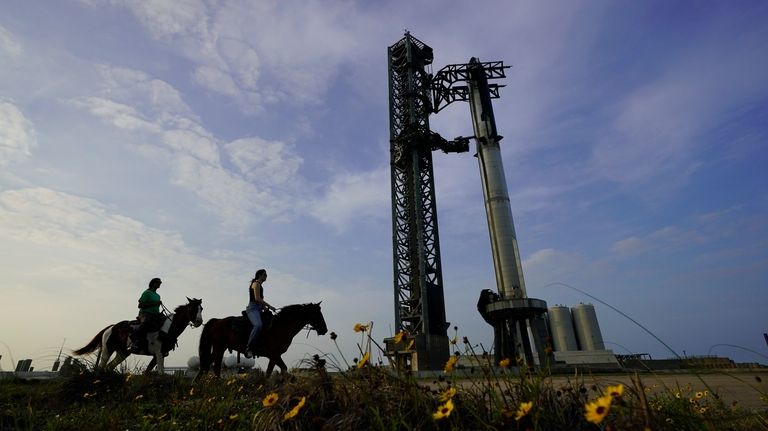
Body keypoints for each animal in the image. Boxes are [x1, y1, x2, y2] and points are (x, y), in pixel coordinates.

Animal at [72, 296, 202, 374]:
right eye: (192, 308)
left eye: (201, 308)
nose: (199, 322)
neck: (168, 328)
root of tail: (111, 327)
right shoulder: (159, 353)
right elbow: (159, 372)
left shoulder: (159, 354)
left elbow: (149, 372)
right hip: (107, 350)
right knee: (101, 367)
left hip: (123, 352)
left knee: (109, 367)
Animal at [198, 304, 328, 378]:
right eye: (317, 313)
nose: (325, 329)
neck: (280, 327)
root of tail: (217, 321)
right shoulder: (274, 354)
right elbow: (284, 369)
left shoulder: (274, 356)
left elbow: (269, 373)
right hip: (219, 347)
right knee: (215, 367)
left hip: (219, 348)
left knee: (208, 364)